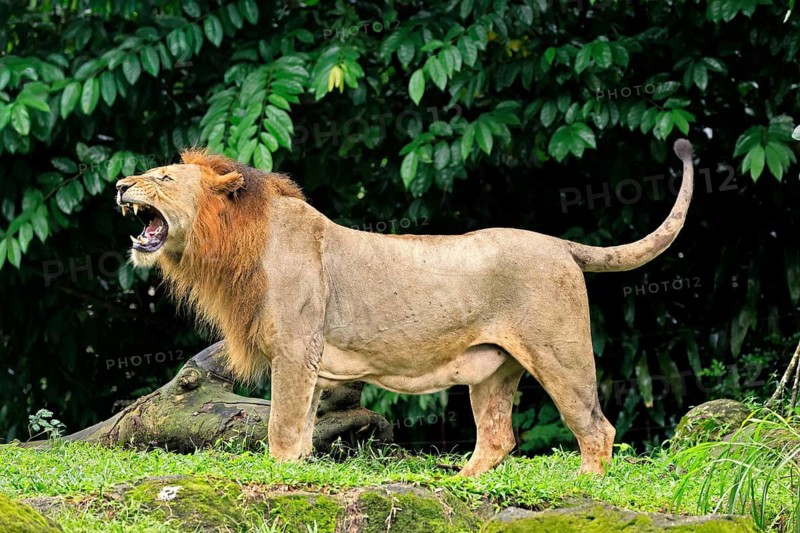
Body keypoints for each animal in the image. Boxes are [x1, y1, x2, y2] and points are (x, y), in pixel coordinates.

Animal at [115, 139, 694, 476]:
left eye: (163, 178)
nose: (120, 185)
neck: (232, 244)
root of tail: (559, 244)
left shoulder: (295, 349)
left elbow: (280, 426)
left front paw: (277, 476)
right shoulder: (309, 361)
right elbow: (301, 429)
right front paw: (298, 471)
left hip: (560, 355)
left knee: (596, 429)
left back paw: (583, 486)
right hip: (495, 370)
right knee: (498, 437)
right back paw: (460, 485)